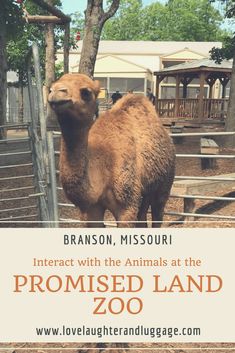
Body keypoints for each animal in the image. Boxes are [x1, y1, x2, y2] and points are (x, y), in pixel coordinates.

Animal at [48, 75, 175, 228]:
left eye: (86, 92)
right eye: (50, 87)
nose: (56, 92)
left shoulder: (127, 206)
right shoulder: (91, 209)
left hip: (165, 183)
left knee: (158, 212)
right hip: (146, 190)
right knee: (143, 215)